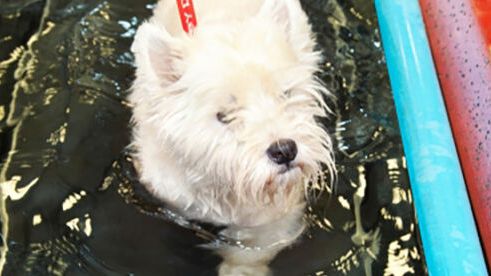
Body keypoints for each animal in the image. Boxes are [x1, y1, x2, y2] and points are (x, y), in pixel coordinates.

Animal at [129, 0, 336, 274]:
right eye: (223, 116)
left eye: (285, 94)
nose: (285, 151)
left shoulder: (274, 214)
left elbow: (252, 248)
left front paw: (242, 269)